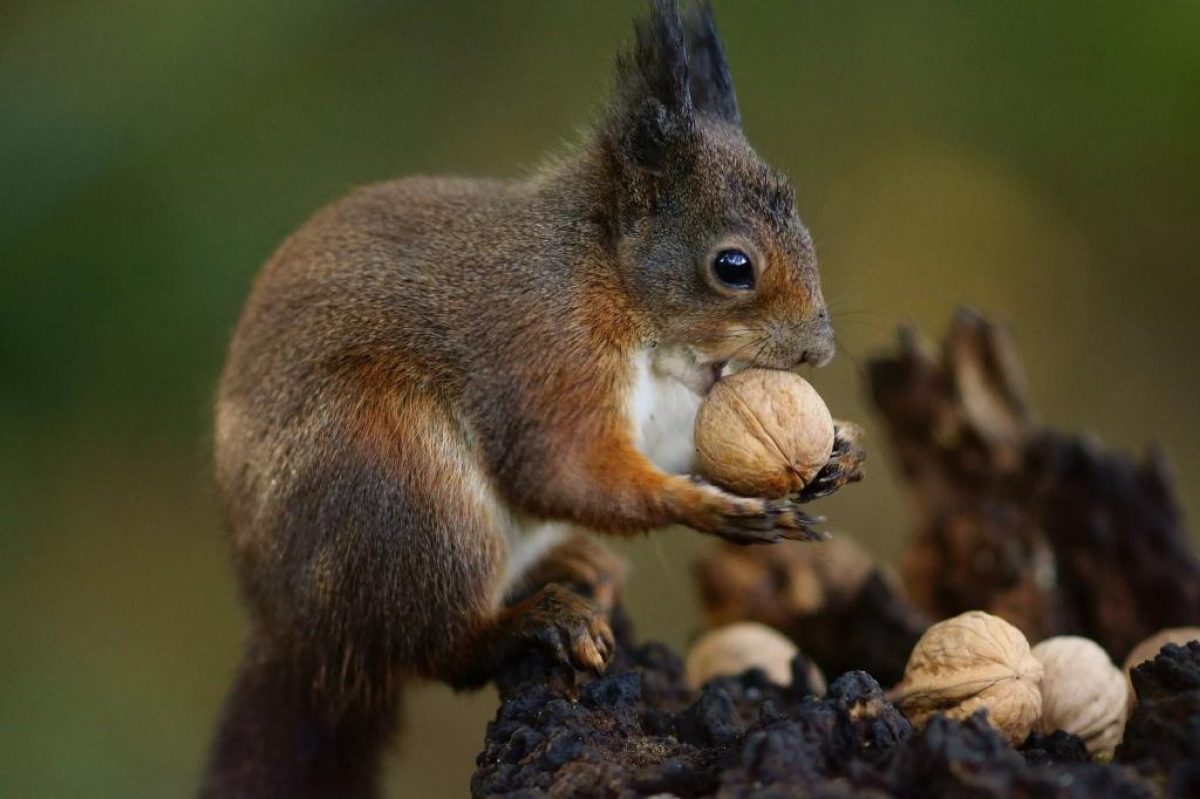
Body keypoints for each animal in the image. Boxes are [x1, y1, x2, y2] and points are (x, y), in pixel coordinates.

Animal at [204, 3, 864, 791]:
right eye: (733, 266)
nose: (819, 350)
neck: (613, 283)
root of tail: (299, 638)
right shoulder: (544, 349)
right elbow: (558, 468)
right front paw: (713, 508)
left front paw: (836, 452)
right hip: (401, 491)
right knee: (436, 649)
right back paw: (532, 620)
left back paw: (575, 566)